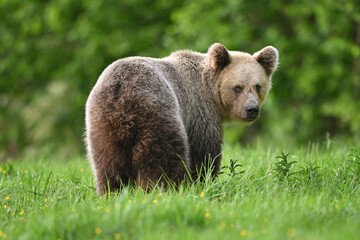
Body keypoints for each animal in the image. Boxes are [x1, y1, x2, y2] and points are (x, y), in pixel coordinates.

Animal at [85, 43, 278, 195]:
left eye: (258, 86)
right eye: (237, 87)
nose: (251, 109)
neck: (212, 94)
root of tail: (121, 94)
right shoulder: (199, 112)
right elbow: (204, 153)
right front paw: (202, 181)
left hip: (101, 125)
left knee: (108, 165)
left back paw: (112, 193)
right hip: (157, 111)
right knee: (165, 157)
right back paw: (169, 190)